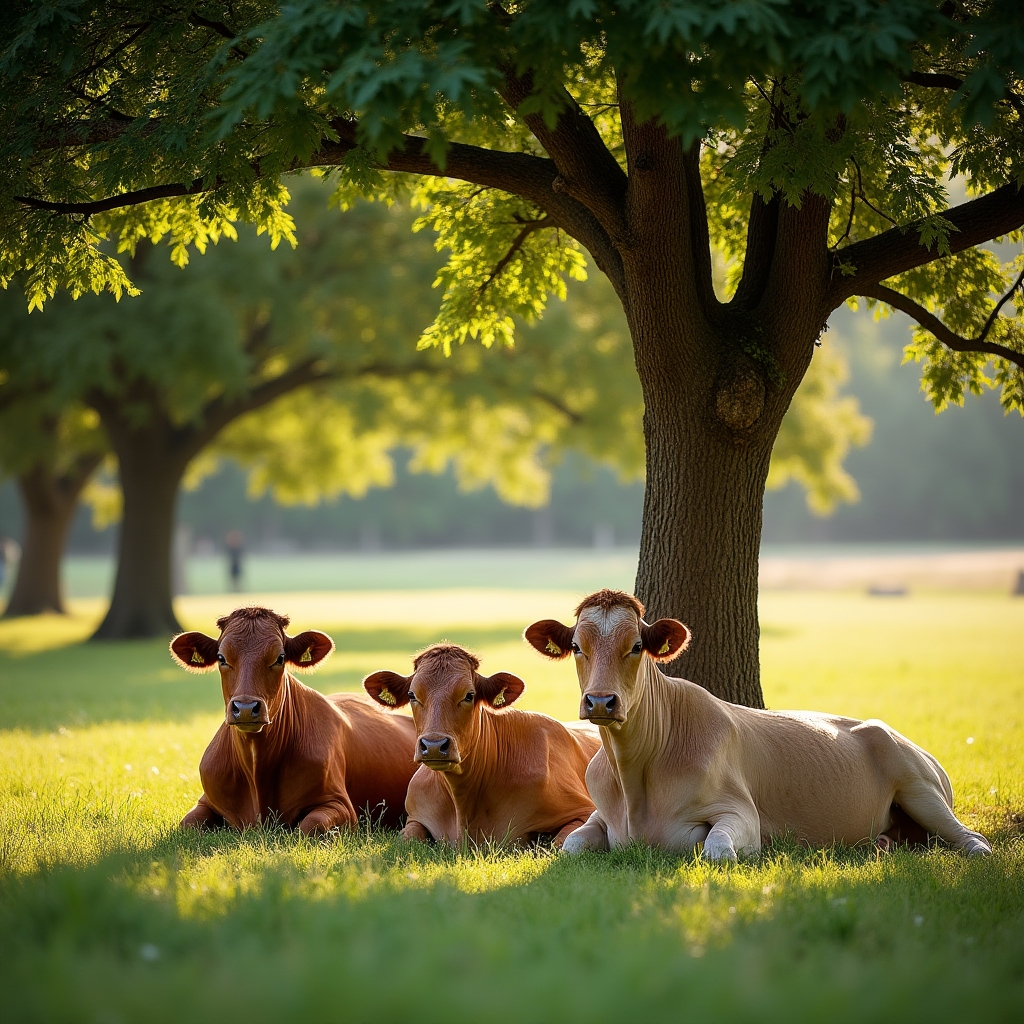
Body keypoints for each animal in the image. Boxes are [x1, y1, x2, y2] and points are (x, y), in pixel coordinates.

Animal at [170, 607, 417, 835]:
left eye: (280, 658)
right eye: (221, 658)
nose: (246, 708)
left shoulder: (340, 803)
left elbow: (309, 825)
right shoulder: (205, 800)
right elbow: (188, 824)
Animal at [363, 644, 601, 847]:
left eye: (469, 695)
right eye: (412, 695)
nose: (433, 745)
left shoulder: (582, 810)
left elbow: (559, 843)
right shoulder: (414, 816)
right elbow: (407, 840)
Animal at [525, 589, 992, 860]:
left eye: (637, 645)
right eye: (576, 646)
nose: (601, 701)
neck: (634, 776)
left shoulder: (740, 812)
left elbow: (717, 850)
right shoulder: (598, 815)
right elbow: (569, 847)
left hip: (918, 785)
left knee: (970, 837)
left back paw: (976, 851)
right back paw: (882, 844)